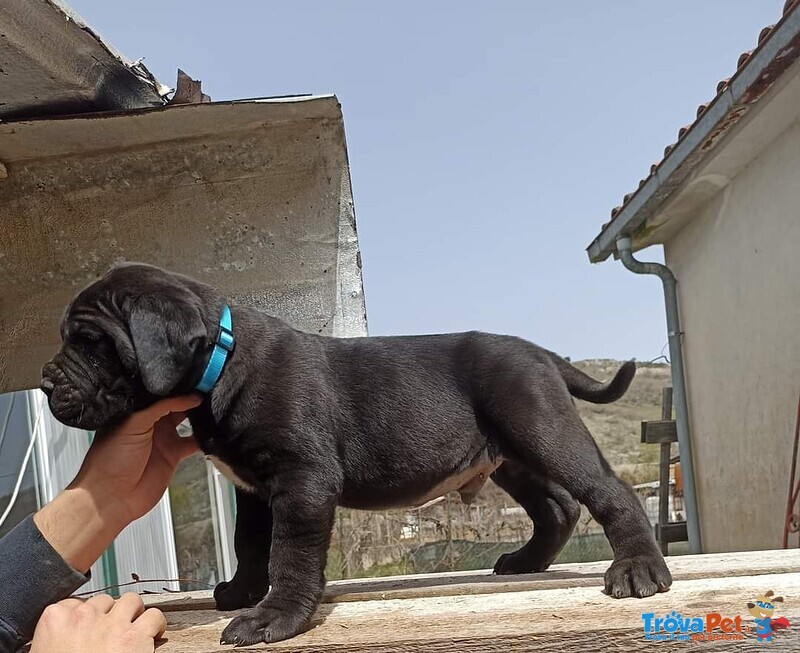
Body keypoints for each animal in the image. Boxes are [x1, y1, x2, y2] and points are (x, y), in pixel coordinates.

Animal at [40, 262, 672, 644]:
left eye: (91, 343)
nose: (45, 384)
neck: (223, 360)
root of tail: (541, 352)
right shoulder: (254, 488)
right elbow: (250, 543)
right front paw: (243, 591)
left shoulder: (302, 480)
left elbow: (290, 553)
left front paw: (274, 617)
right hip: (510, 455)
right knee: (558, 506)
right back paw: (526, 561)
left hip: (541, 428)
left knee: (607, 492)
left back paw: (639, 569)